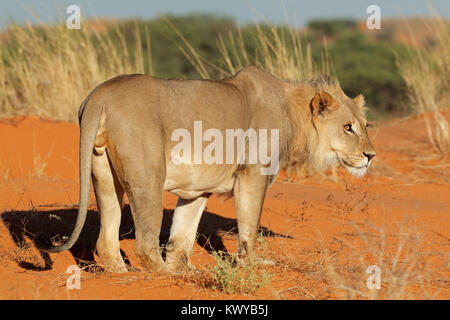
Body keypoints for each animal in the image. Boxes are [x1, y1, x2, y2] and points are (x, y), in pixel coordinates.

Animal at [33, 66, 374, 274]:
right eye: (348, 128)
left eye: (365, 126)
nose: (371, 155)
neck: (292, 111)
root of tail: (99, 95)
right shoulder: (253, 175)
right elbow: (249, 228)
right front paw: (251, 265)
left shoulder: (198, 189)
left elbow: (183, 235)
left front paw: (188, 271)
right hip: (148, 177)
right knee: (145, 245)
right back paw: (162, 274)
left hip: (103, 174)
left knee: (106, 240)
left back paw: (126, 272)